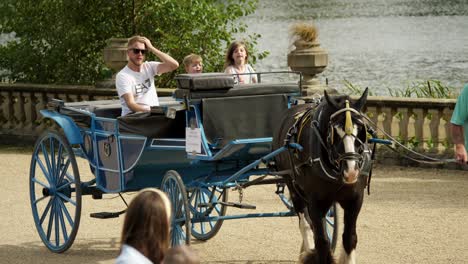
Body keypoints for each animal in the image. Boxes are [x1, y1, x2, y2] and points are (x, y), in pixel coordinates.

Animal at [272, 87, 372, 262]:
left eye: (361, 129)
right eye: (334, 131)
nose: (351, 171)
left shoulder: (355, 200)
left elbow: (349, 238)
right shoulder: (316, 202)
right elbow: (322, 241)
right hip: (293, 186)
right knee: (304, 223)